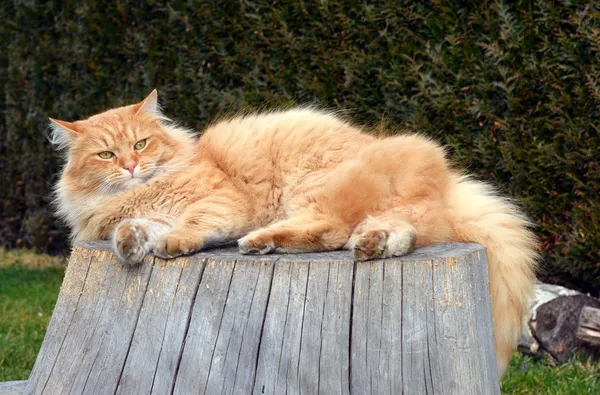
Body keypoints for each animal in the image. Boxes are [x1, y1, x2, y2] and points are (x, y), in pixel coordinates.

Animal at [51, 90, 536, 380]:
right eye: (106, 154)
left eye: (141, 145)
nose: (131, 167)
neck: (142, 192)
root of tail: (447, 182)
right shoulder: (142, 214)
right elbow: (134, 230)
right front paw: (130, 244)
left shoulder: (221, 202)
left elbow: (191, 226)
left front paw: (170, 244)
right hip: (393, 212)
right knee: (393, 235)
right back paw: (373, 244)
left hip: (313, 188)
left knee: (331, 230)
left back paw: (261, 241)